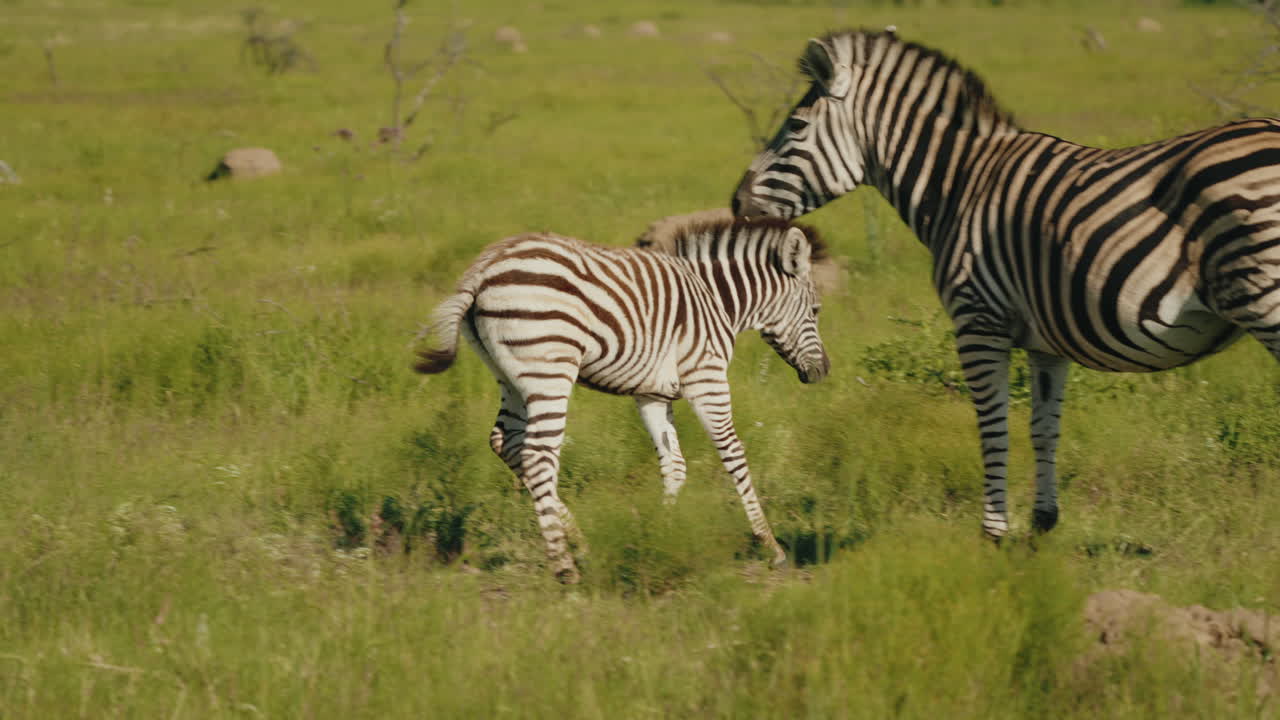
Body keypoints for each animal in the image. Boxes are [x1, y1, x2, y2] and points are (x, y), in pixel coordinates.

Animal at [414, 217, 830, 582]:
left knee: (506, 442)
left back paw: (578, 544)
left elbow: (675, 464)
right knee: (537, 454)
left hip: (511, 376)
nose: (823, 371)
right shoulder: (705, 377)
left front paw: (659, 534)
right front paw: (771, 545)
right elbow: (733, 453)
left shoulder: (652, 393)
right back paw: (565, 567)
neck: (719, 301)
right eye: (815, 310)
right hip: (550, 368)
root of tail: (483, 268)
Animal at [730, 27, 1280, 539]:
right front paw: (1042, 523)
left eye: (796, 126)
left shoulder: (978, 321)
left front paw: (993, 533)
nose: (737, 203)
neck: (960, 183)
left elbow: (993, 425)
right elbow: (1043, 428)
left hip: (1265, 301)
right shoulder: (1046, 342)